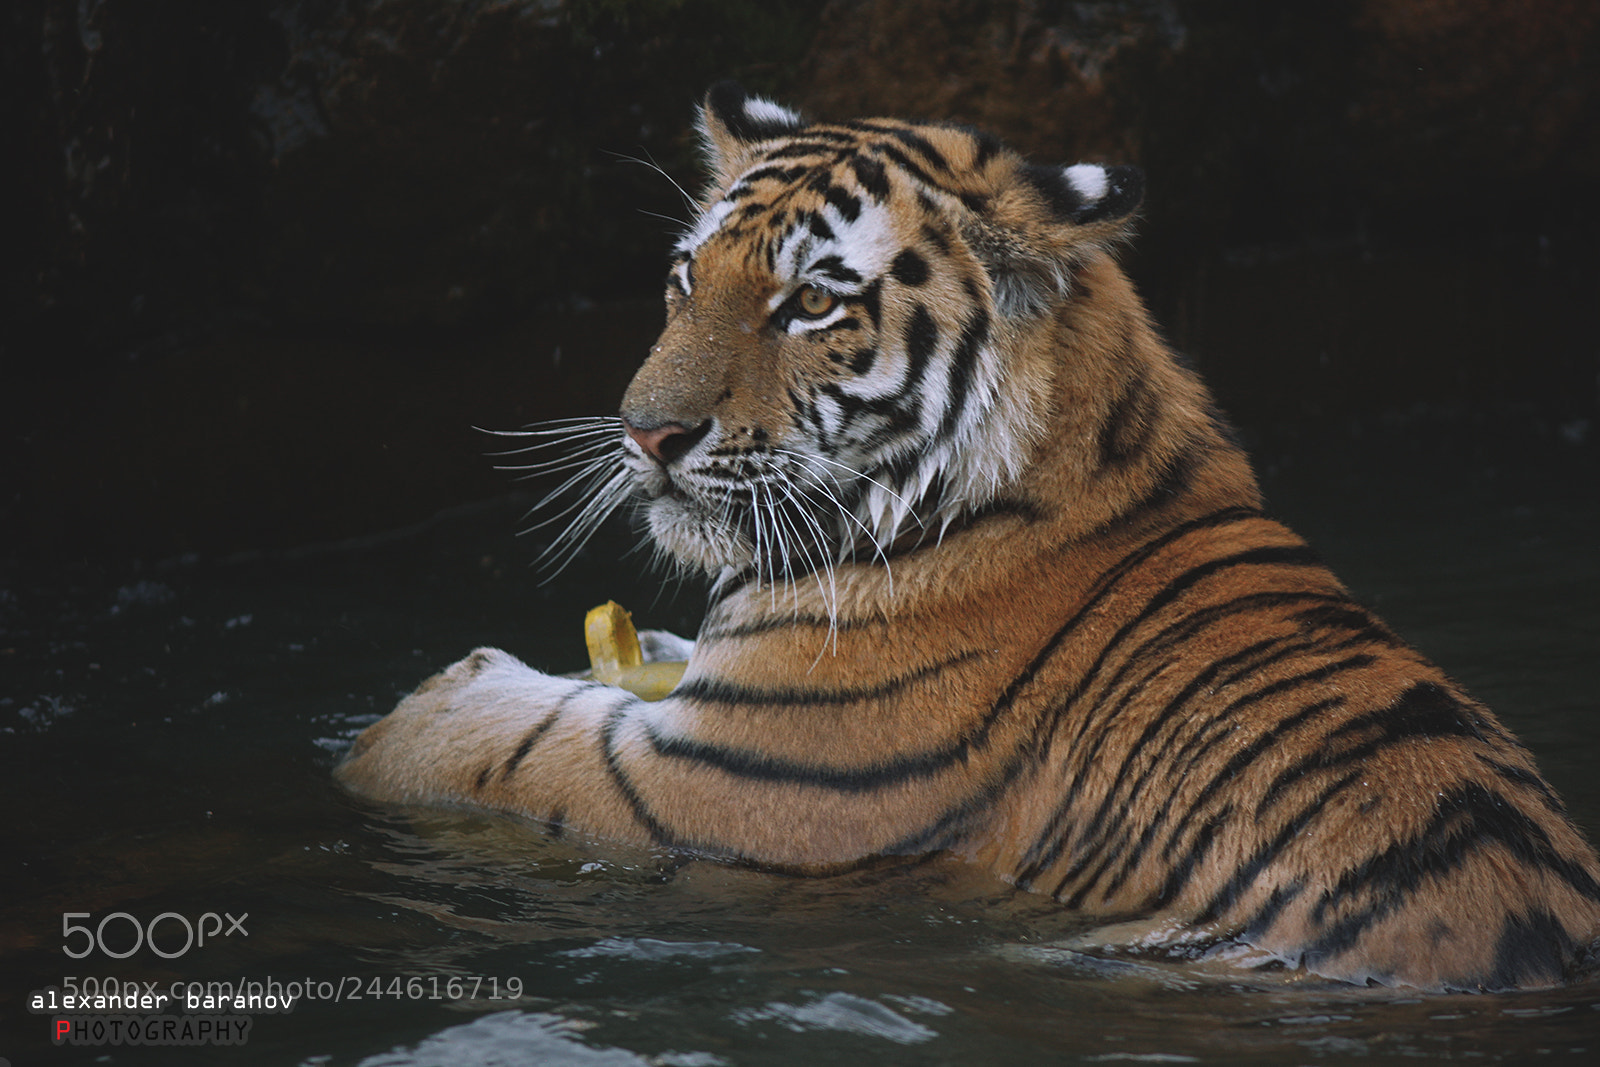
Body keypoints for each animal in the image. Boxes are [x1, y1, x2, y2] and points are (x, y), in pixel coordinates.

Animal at [337, 82, 1600, 992]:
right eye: (687, 277)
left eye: (811, 301)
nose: (646, 431)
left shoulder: (719, 781)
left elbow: (487, 742)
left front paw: (405, 715)